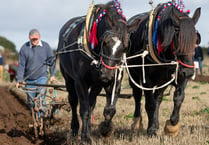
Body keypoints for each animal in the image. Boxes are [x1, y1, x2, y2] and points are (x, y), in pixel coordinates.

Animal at [57, 0, 129, 143]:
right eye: (104, 42)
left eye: (124, 47)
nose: (107, 74)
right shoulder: (80, 82)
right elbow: (84, 110)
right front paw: (85, 138)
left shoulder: (112, 81)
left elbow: (109, 110)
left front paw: (106, 129)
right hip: (69, 79)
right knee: (73, 101)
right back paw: (75, 129)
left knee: (91, 104)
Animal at [126, 1, 200, 137]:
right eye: (178, 39)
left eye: (195, 40)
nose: (189, 72)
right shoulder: (147, 79)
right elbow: (149, 104)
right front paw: (151, 130)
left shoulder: (180, 75)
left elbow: (178, 97)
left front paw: (172, 125)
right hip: (132, 74)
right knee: (137, 95)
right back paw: (137, 122)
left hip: (162, 80)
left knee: (158, 98)